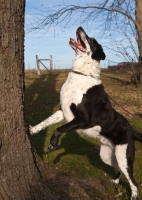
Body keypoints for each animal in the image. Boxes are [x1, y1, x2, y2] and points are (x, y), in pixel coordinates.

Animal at [30, 27, 142, 200]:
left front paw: (52, 144)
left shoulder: (83, 118)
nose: (80, 28)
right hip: (107, 155)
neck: (81, 74)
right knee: (121, 171)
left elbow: (58, 129)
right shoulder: (63, 111)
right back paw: (115, 182)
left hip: (124, 155)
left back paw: (132, 196)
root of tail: (132, 130)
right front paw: (33, 130)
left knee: (133, 181)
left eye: (92, 40)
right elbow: (46, 122)